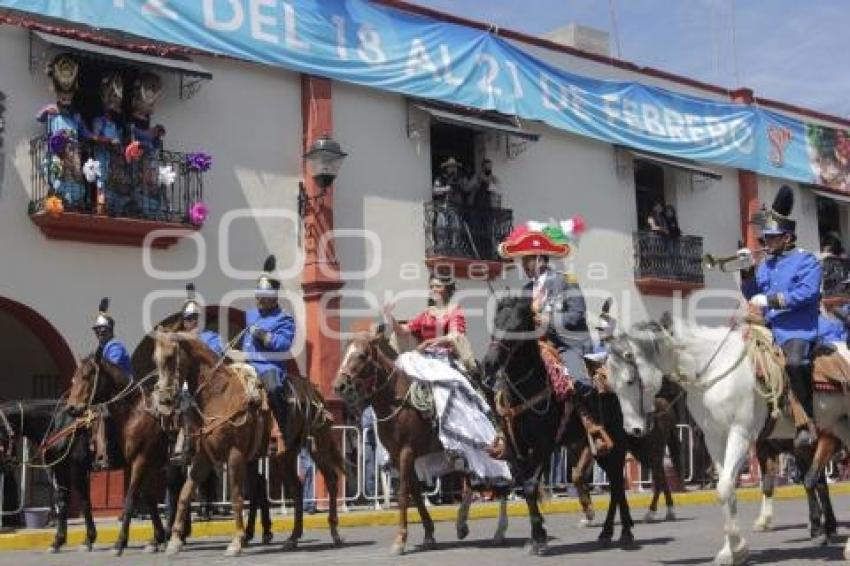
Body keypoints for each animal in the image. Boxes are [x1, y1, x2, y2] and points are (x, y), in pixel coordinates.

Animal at [66, 358, 174, 556]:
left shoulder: (141, 461)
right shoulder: (142, 464)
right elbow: (150, 499)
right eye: (73, 378)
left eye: (87, 376)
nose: (71, 408)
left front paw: (119, 542)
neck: (134, 414)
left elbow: (130, 499)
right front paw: (157, 538)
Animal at [332, 330, 506, 556]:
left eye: (361, 355)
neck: (396, 401)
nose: (339, 386)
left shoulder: (406, 452)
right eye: (345, 353)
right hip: (463, 451)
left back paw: (499, 531)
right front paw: (429, 534)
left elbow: (403, 494)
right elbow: (415, 492)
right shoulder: (398, 455)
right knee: (471, 482)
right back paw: (462, 524)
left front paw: (400, 540)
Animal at [484, 298, 628, 556]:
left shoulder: (545, 445)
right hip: (598, 449)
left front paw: (539, 539)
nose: (489, 363)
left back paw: (621, 532)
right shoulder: (517, 448)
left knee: (617, 483)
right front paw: (537, 534)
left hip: (618, 441)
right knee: (615, 482)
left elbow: (531, 486)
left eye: (518, 325)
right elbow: (526, 487)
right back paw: (612, 532)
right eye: (496, 321)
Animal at [608, 318, 848, 564]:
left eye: (629, 381)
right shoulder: (715, 438)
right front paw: (731, 551)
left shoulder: (740, 434)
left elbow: (725, 488)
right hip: (840, 427)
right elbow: (727, 488)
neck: (712, 370)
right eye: (611, 384)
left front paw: (737, 546)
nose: (633, 429)